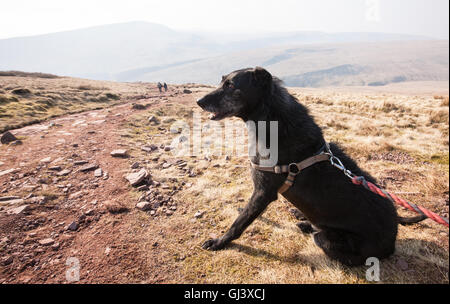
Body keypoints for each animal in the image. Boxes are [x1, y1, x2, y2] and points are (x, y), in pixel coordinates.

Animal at [196, 67, 422, 266]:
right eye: (221, 81)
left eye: (231, 85)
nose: (199, 102)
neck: (271, 120)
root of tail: (393, 237)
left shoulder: (263, 192)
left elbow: (240, 222)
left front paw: (219, 242)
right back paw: (304, 220)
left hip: (329, 240)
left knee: (331, 245)